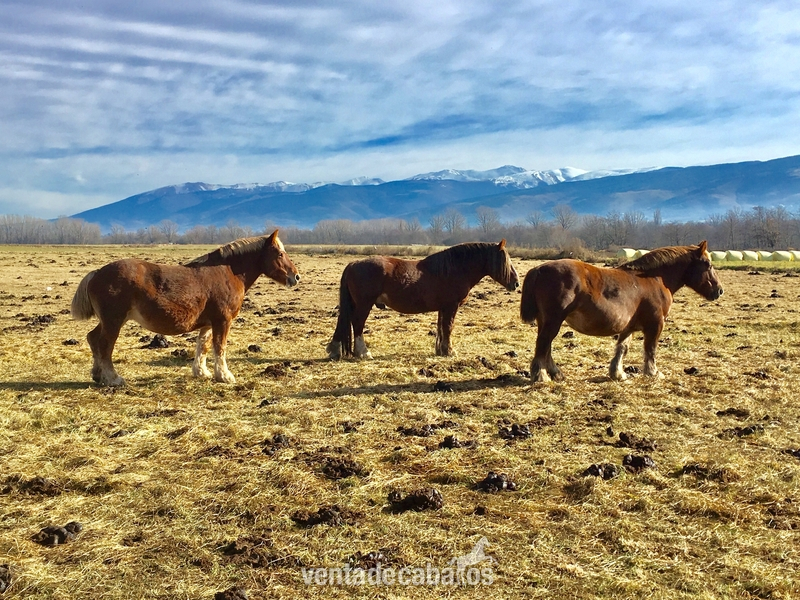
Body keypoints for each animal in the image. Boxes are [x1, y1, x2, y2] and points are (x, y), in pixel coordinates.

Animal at [70, 230, 299, 386]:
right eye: (280, 254)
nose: (295, 276)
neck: (227, 272)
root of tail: (97, 273)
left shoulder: (209, 323)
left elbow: (203, 346)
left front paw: (202, 372)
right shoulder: (223, 321)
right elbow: (220, 347)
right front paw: (225, 376)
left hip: (109, 321)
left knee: (93, 338)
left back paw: (98, 375)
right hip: (114, 321)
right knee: (104, 344)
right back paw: (113, 378)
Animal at [326, 240, 519, 360]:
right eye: (505, 260)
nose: (516, 283)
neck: (453, 269)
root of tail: (353, 264)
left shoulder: (443, 307)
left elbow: (441, 328)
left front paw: (441, 350)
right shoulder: (451, 306)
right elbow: (448, 327)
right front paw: (450, 351)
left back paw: (334, 350)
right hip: (364, 305)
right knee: (357, 324)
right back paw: (363, 353)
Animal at [520, 241, 723, 382]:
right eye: (707, 264)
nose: (719, 291)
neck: (655, 279)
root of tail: (539, 269)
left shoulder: (628, 327)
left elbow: (622, 349)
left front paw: (617, 374)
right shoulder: (656, 324)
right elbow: (650, 349)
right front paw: (653, 373)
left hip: (546, 321)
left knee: (546, 347)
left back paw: (555, 374)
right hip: (553, 321)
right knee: (543, 345)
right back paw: (542, 376)